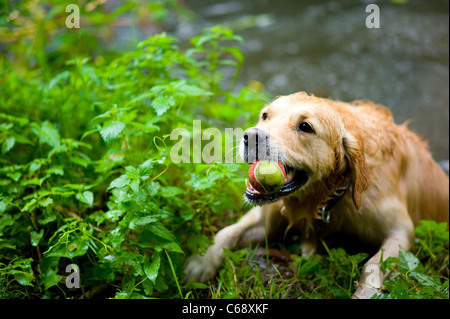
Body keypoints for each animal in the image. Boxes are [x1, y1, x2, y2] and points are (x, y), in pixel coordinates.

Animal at [184, 92, 450, 300]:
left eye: (305, 127)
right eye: (265, 115)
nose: (251, 136)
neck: (330, 197)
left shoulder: (402, 232)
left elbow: (374, 265)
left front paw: (365, 292)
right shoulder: (267, 220)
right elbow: (226, 233)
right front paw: (200, 262)